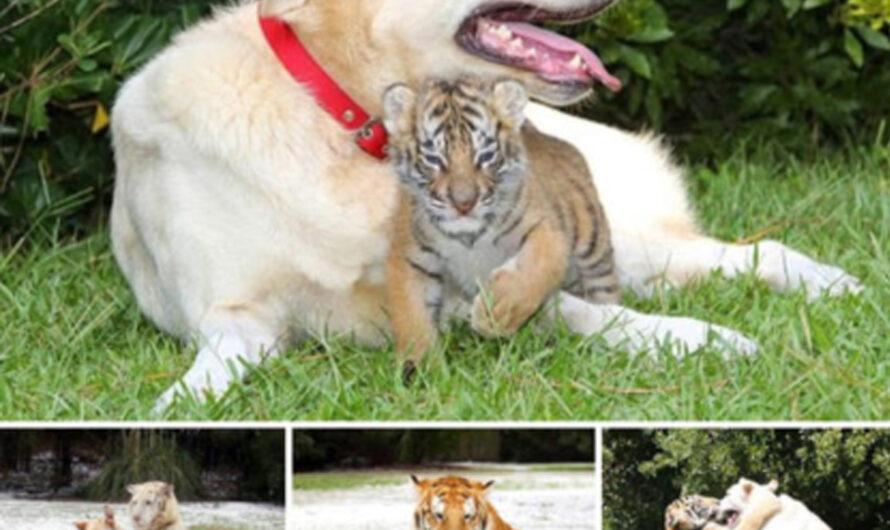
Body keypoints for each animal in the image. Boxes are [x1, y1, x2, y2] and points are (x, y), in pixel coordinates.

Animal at [107, 0, 856, 408]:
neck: (345, 123)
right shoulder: (235, 319)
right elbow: (205, 377)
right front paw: (172, 408)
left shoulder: (486, 283)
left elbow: (589, 315)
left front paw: (704, 341)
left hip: (623, 239)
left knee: (755, 250)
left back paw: (830, 284)